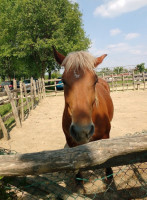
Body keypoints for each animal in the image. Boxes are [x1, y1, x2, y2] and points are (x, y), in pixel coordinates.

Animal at [52, 47, 113, 186]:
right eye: (63, 81)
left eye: (95, 80)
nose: (82, 130)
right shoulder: (72, 142)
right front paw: (79, 179)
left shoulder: (105, 136)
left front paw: (109, 176)